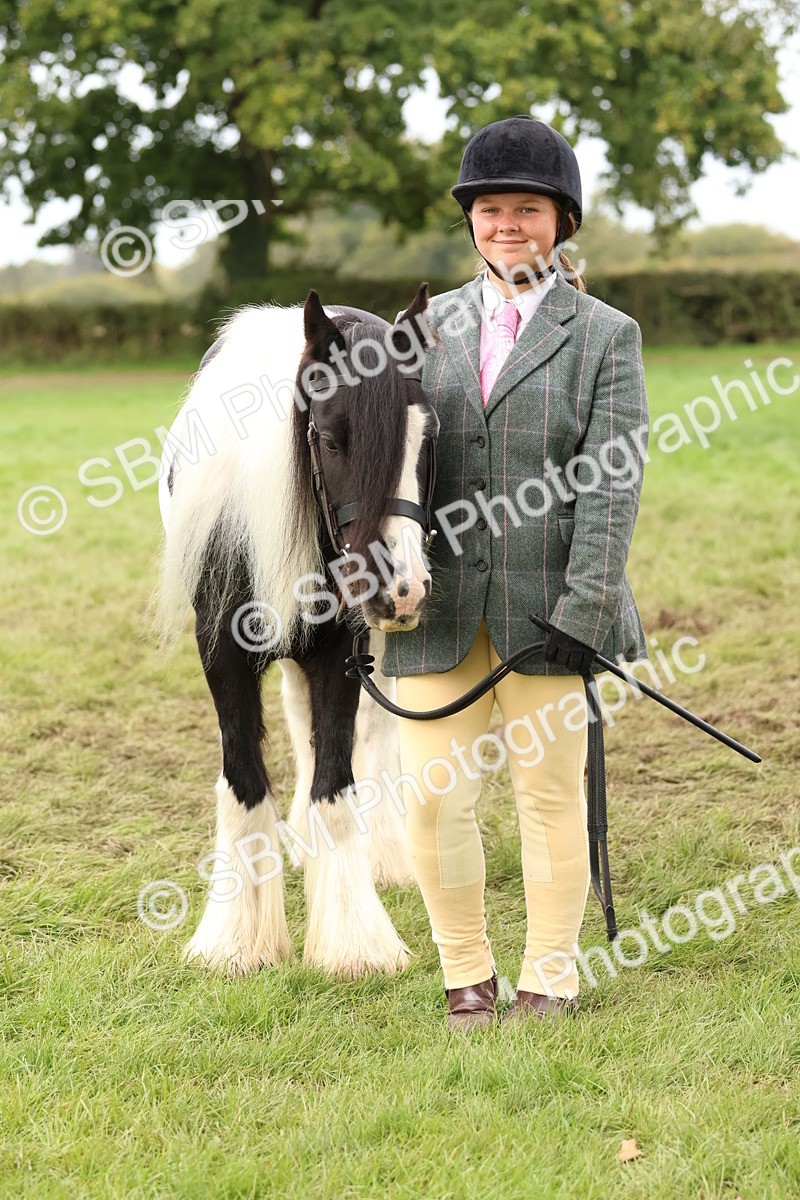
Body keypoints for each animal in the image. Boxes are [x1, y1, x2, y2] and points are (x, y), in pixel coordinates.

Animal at [153, 284, 439, 979]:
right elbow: (244, 776)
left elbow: (336, 779)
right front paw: (235, 942)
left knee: (374, 731)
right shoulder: (222, 653)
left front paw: (354, 943)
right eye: (332, 441)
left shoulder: (343, 651)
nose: (402, 588)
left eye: (427, 439)